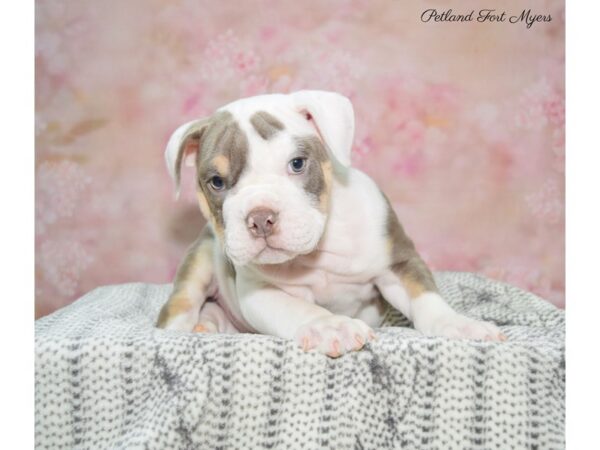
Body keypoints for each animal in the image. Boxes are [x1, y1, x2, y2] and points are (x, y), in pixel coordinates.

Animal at [156, 89, 506, 356]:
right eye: (216, 182)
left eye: (297, 164)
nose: (260, 218)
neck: (315, 251)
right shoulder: (259, 291)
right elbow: (299, 309)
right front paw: (330, 325)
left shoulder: (398, 262)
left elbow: (425, 297)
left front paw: (459, 324)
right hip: (200, 257)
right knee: (181, 304)